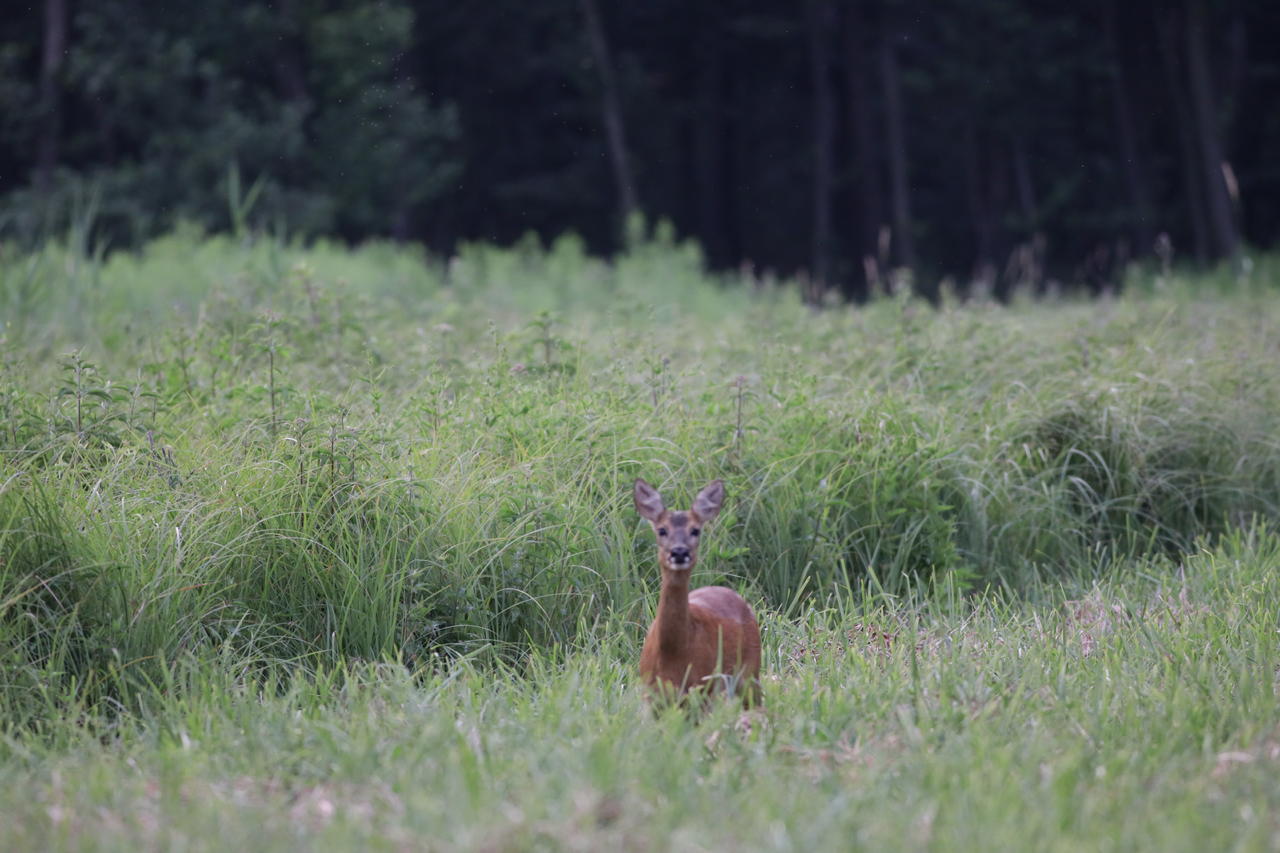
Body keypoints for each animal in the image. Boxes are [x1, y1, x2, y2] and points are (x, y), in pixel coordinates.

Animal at [632, 473, 757, 701]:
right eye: (662, 530)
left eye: (695, 530)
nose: (679, 552)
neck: (673, 650)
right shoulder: (650, 690)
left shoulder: (702, 685)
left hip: (750, 670)